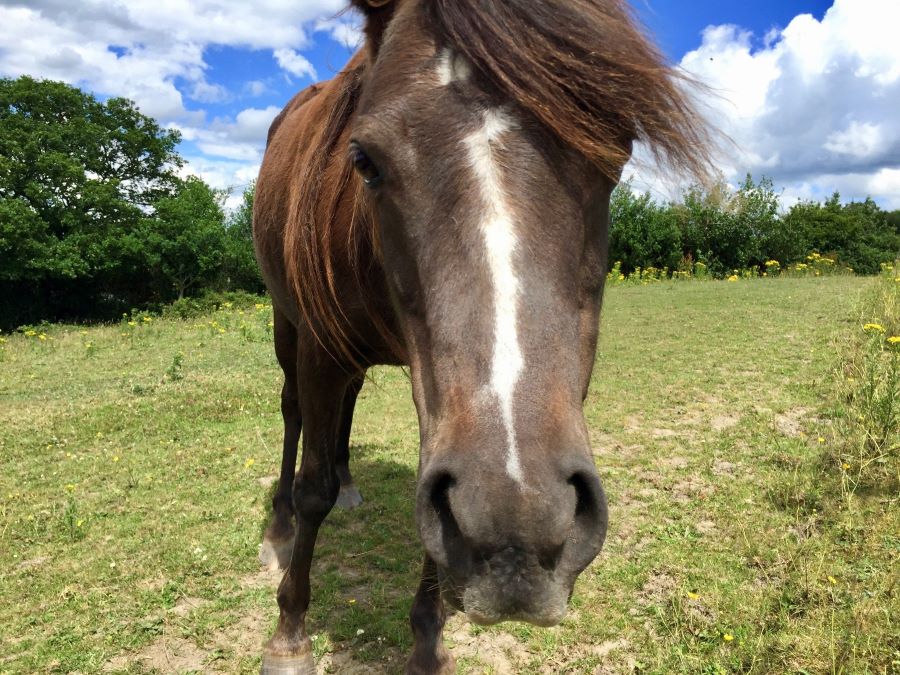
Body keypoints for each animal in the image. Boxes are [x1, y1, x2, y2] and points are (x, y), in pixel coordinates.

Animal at [252, 0, 711, 672]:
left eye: (617, 154)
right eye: (363, 160)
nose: (518, 533)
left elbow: (434, 513)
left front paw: (426, 643)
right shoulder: (321, 349)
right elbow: (313, 487)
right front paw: (289, 634)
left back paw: (351, 485)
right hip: (288, 326)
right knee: (292, 416)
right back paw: (280, 527)